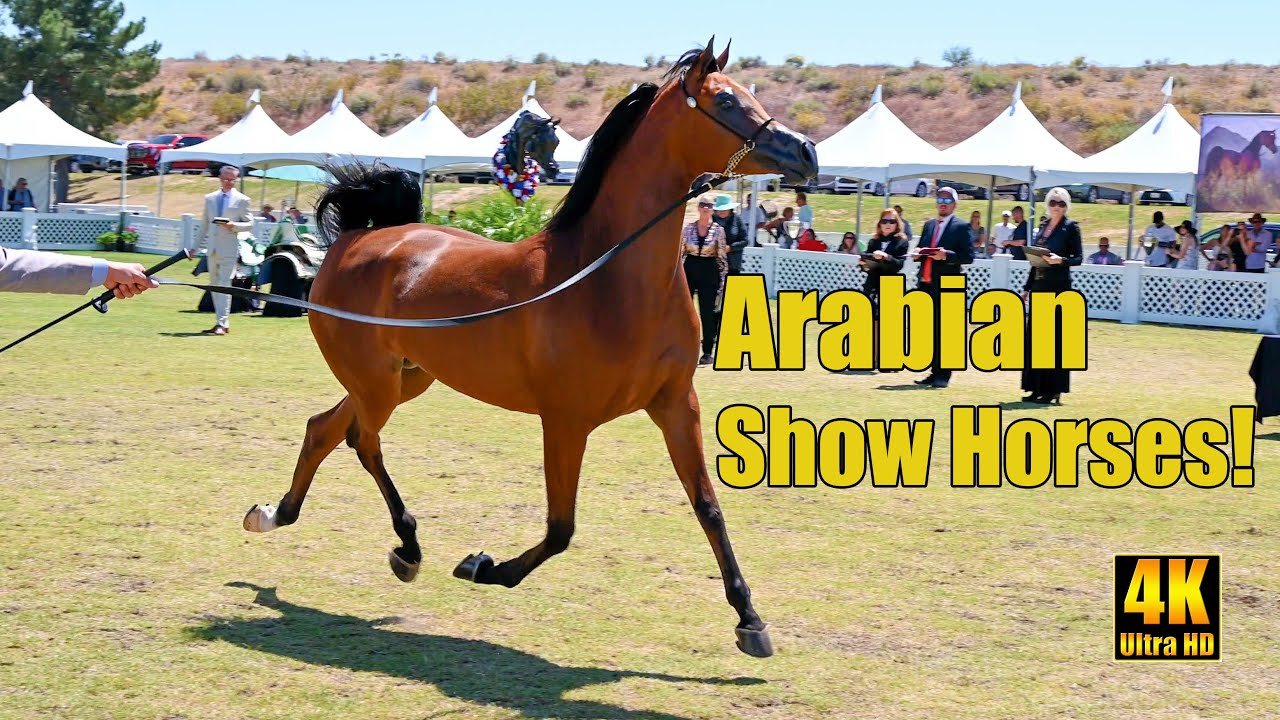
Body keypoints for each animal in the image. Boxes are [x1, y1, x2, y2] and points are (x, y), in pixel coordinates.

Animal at [240, 38, 817, 658]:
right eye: (727, 101)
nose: (806, 153)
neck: (609, 278)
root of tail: (355, 239)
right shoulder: (566, 420)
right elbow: (561, 528)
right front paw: (482, 566)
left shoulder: (675, 404)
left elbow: (708, 508)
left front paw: (750, 620)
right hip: (377, 384)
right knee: (361, 442)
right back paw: (407, 548)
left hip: (402, 378)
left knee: (324, 429)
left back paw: (274, 514)